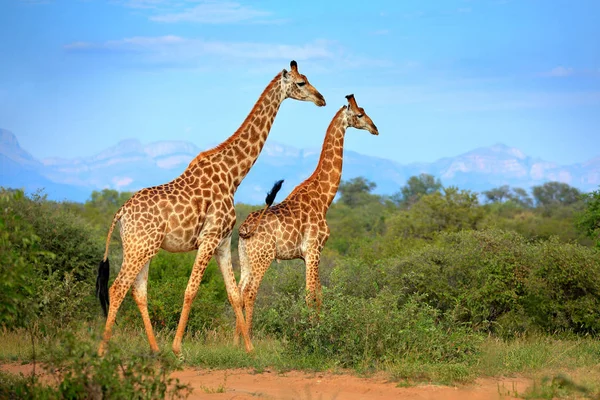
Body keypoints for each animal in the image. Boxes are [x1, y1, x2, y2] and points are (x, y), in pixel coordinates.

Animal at [95, 60, 326, 356]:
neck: (233, 175)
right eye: (301, 83)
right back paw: (104, 350)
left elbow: (234, 294)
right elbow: (191, 289)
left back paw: (154, 349)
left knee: (138, 290)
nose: (321, 99)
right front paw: (178, 347)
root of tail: (120, 214)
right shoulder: (209, 237)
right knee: (117, 287)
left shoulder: (223, 242)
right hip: (140, 247)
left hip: (141, 247)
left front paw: (249, 348)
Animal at [237, 94, 378, 338]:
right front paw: (315, 334)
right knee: (250, 293)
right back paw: (250, 337)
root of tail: (244, 228)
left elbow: (318, 293)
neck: (324, 198)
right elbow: (311, 294)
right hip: (262, 257)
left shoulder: (307, 255)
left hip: (245, 257)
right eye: (360, 114)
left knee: (237, 291)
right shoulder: (314, 249)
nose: (375, 128)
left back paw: (235, 340)